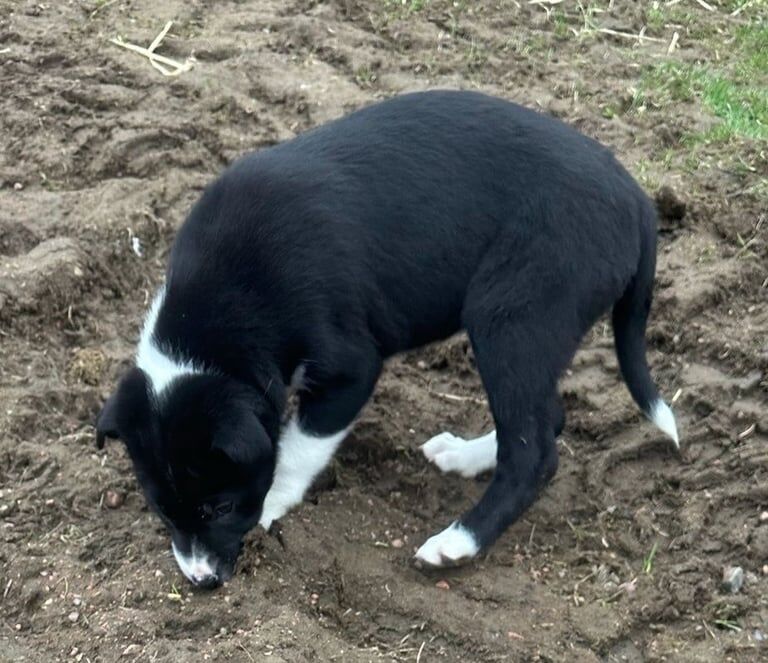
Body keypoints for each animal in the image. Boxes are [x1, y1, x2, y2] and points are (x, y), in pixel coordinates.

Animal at [97, 91, 680, 588]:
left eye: (217, 507)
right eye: (162, 508)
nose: (203, 582)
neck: (218, 312)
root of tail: (637, 202)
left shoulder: (350, 371)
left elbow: (297, 448)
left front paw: (274, 501)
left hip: (514, 315)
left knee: (534, 451)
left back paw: (455, 543)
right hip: (530, 332)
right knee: (543, 420)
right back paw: (464, 457)